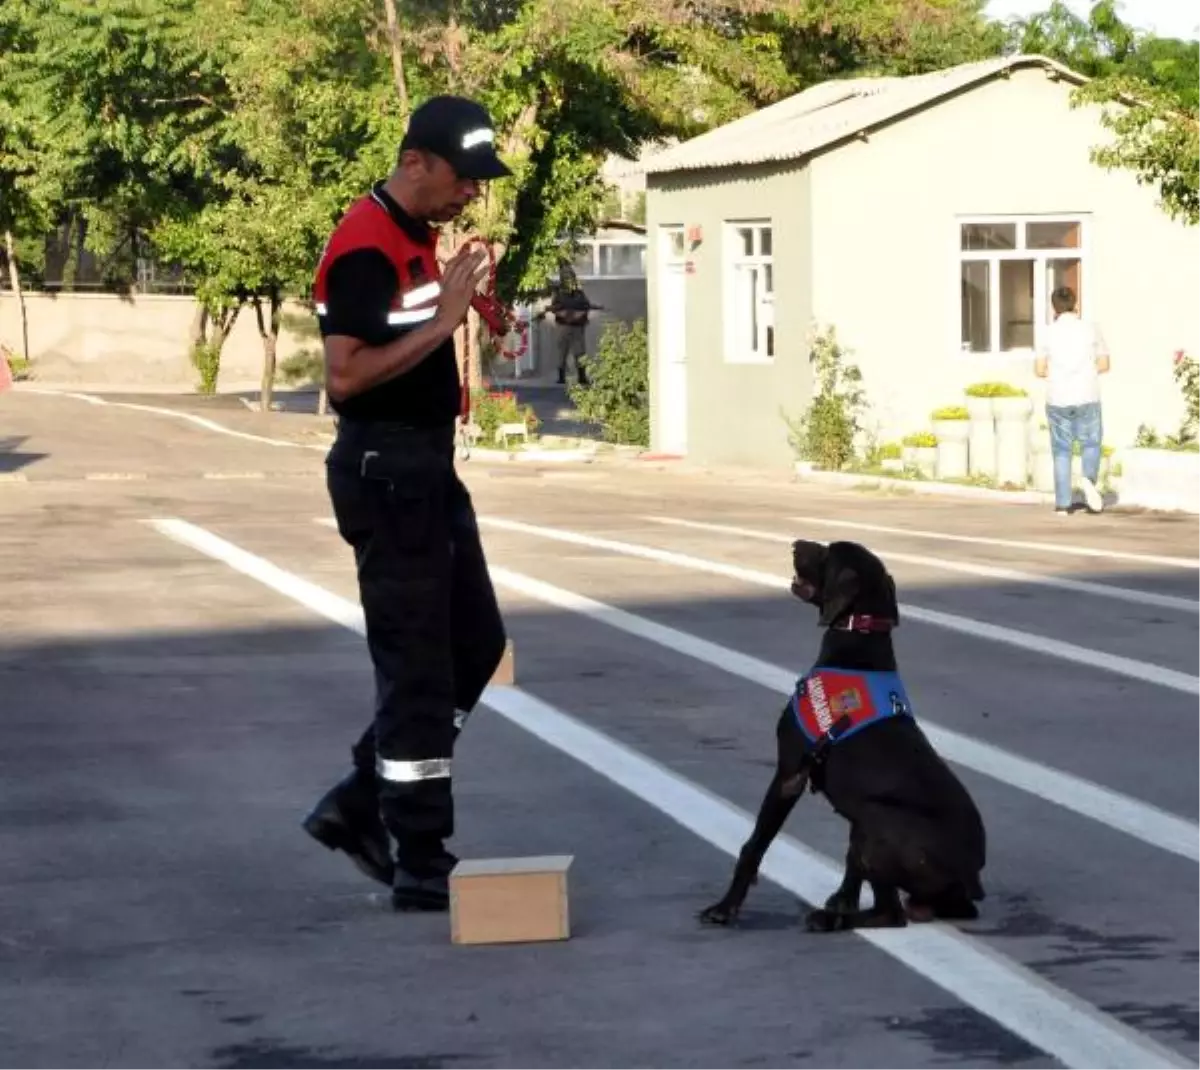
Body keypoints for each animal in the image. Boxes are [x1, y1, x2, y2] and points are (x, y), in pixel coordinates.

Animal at [700, 539, 988, 930]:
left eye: (827, 552)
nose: (795, 542)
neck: (858, 640)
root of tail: (971, 880)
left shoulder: (790, 774)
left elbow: (754, 845)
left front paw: (725, 907)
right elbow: (851, 866)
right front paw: (843, 900)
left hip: (878, 816)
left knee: (891, 914)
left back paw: (828, 920)